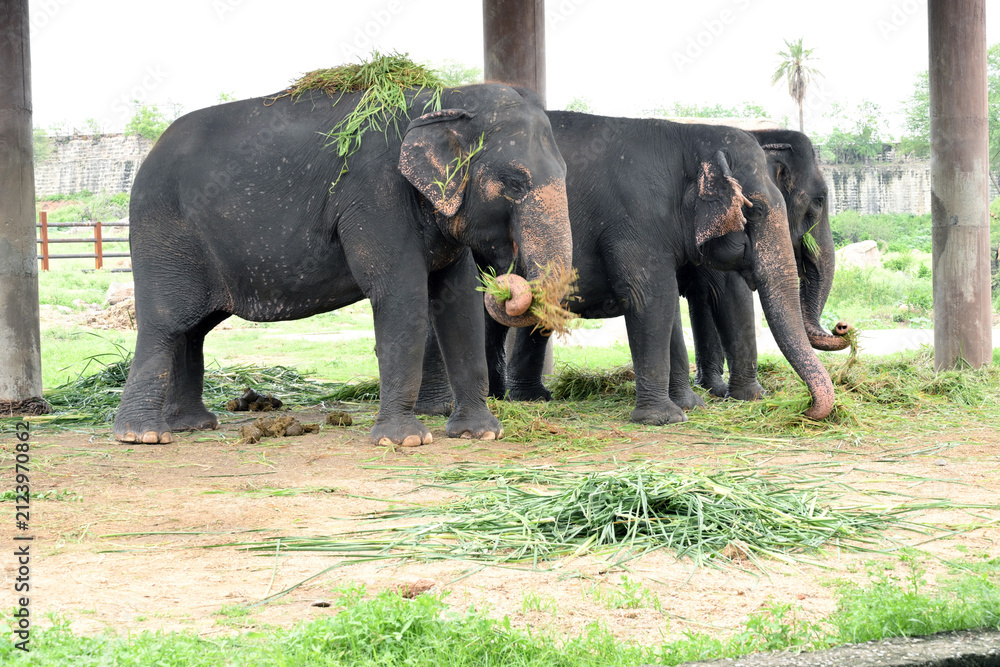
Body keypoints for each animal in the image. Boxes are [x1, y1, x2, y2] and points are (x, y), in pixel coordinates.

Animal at [112, 83, 573, 447]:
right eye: (515, 183)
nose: (507, 276)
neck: (444, 99)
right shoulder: (374, 196)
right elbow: (401, 294)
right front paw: (404, 441)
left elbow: (458, 303)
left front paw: (481, 434)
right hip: (164, 234)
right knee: (166, 322)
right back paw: (144, 435)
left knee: (193, 328)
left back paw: (192, 426)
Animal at [421, 111, 836, 424]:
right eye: (757, 209)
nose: (807, 409)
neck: (690, 135)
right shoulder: (637, 218)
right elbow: (657, 295)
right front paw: (672, 417)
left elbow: (666, 303)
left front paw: (692, 405)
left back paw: (515, 399)